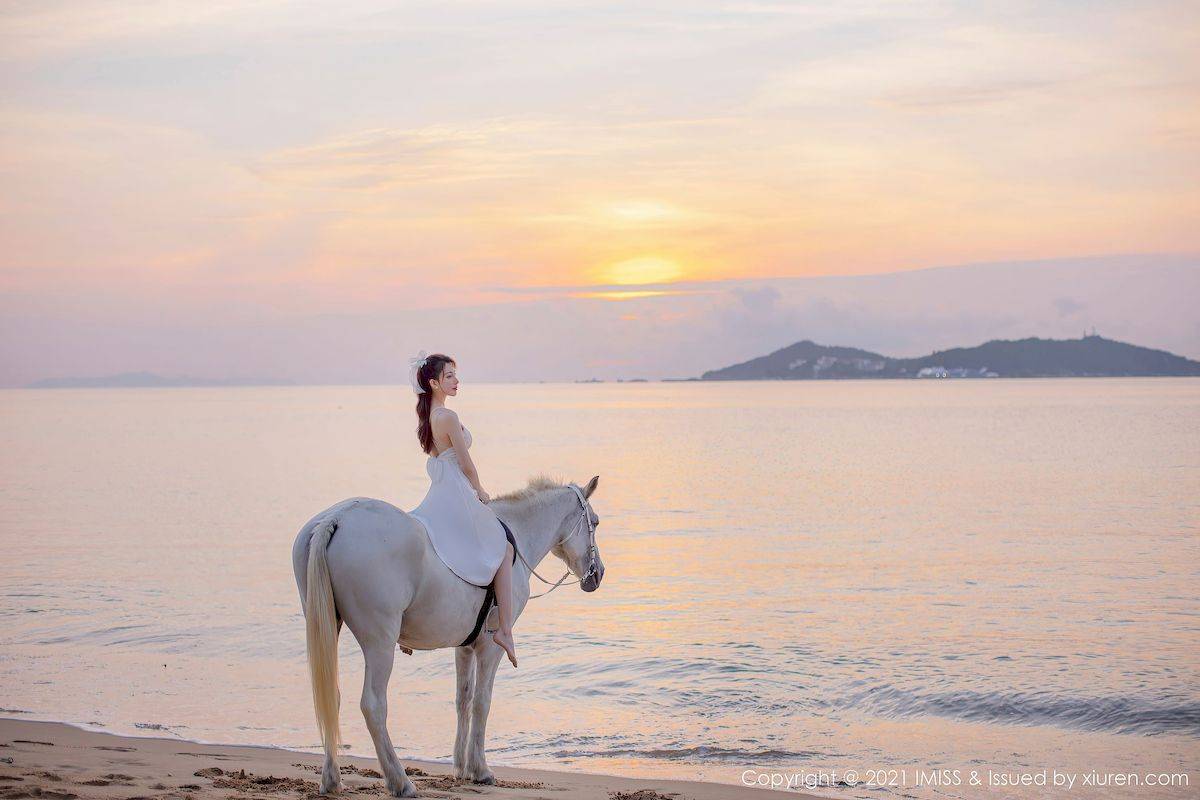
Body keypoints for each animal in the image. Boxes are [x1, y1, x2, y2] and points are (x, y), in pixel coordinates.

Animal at [290, 474, 605, 797]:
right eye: (594, 522)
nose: (597, 574)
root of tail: (337, 518)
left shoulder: (464, 647)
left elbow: (462, 700)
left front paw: (461, 767)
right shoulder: (490, 647)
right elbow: (482, 702)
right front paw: (480, 769)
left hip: (329, 627)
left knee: (332, 698)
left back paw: (332, 780)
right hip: (380, 644)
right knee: (374, 706)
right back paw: (400, 782)